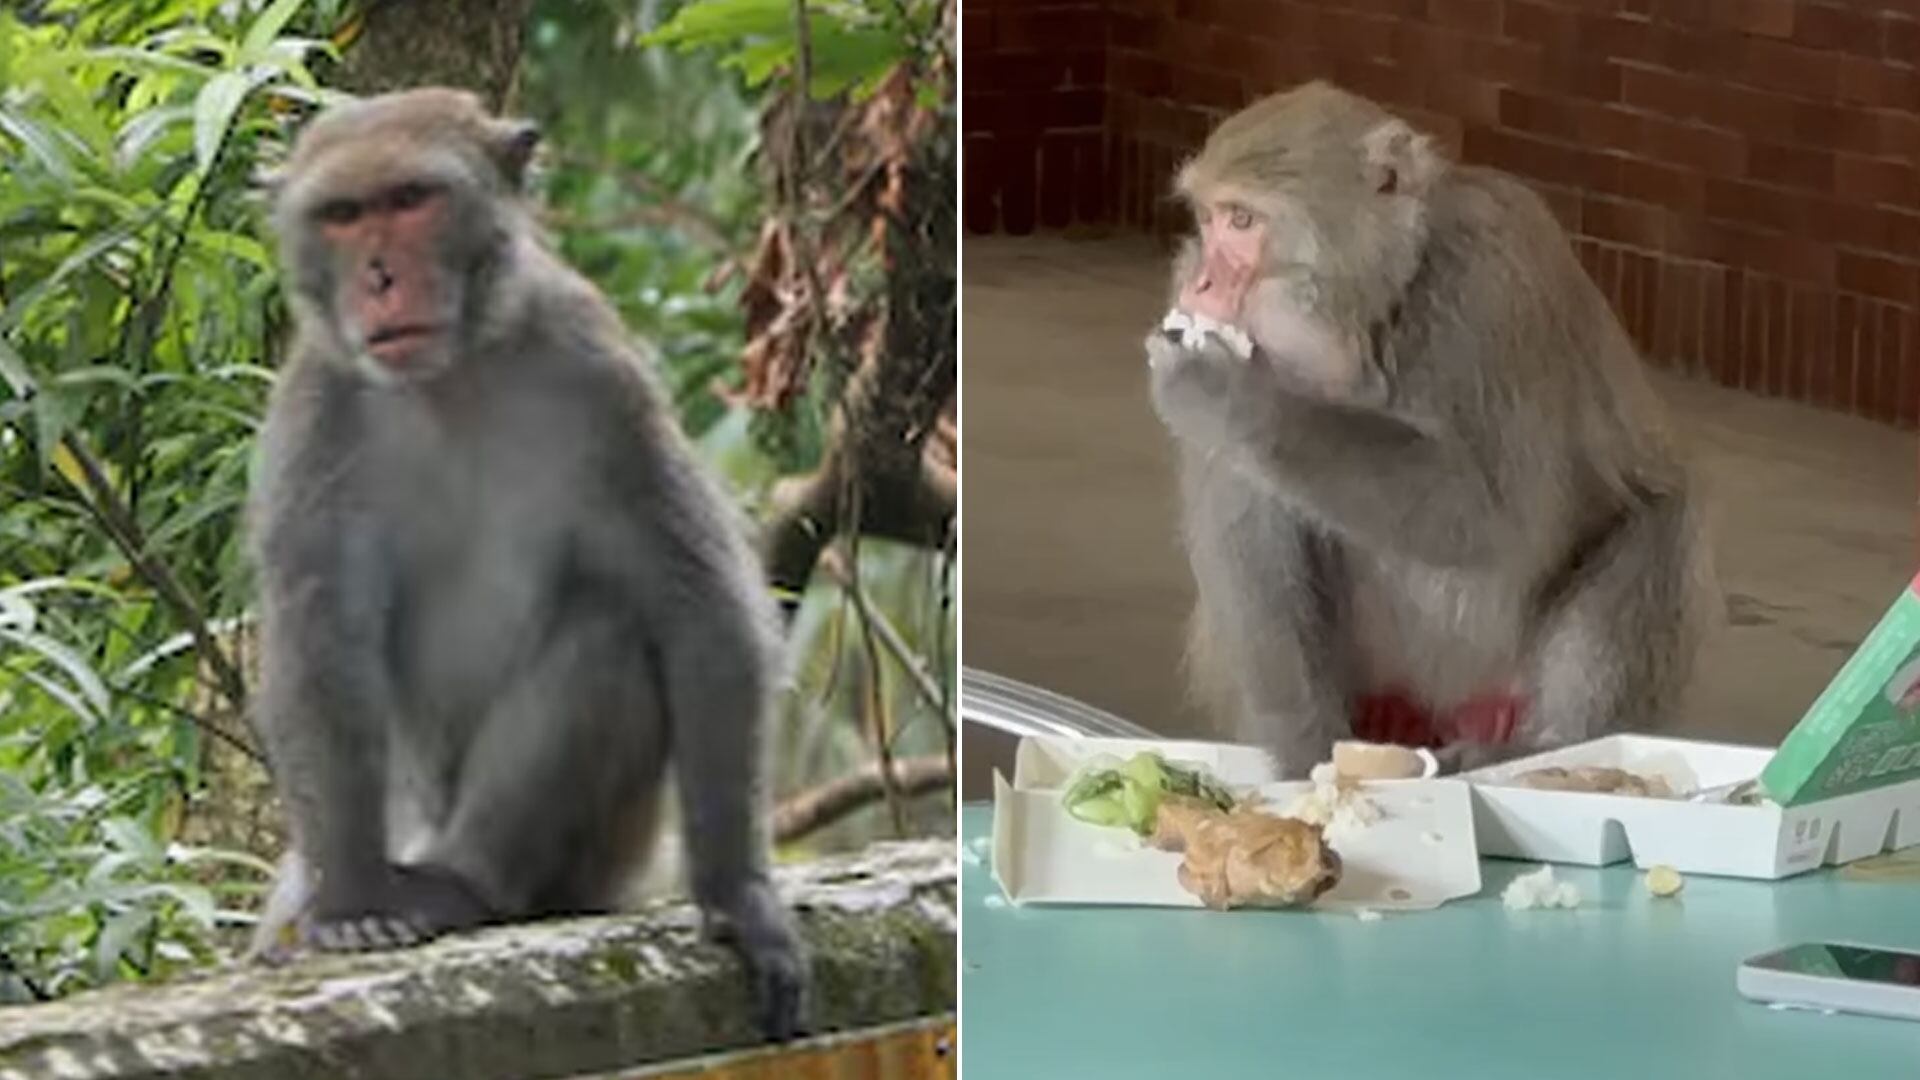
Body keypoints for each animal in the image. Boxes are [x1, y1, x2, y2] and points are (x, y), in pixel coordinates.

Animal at [244, 87, 806, 1039]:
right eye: (344, 215)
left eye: (411, 199)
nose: (379, 278)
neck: (453, 375)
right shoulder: (317, 409)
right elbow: (321, 642)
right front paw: (352, 904)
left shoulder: (600, 371)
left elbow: (699, 606)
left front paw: (739, 894)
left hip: (607, 854)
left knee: (614, 634)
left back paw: (464, 885)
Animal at [1145, 81, 1717, 779]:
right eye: (1207, 221)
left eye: (1244, 221)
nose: (1205, 284)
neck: (1379, 311)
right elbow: (1247, 529)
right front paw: (1306, 753)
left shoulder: (1487, 284)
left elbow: (1489, 514)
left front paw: (1235, 401)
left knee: (1662, 523)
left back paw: (1547, 747)